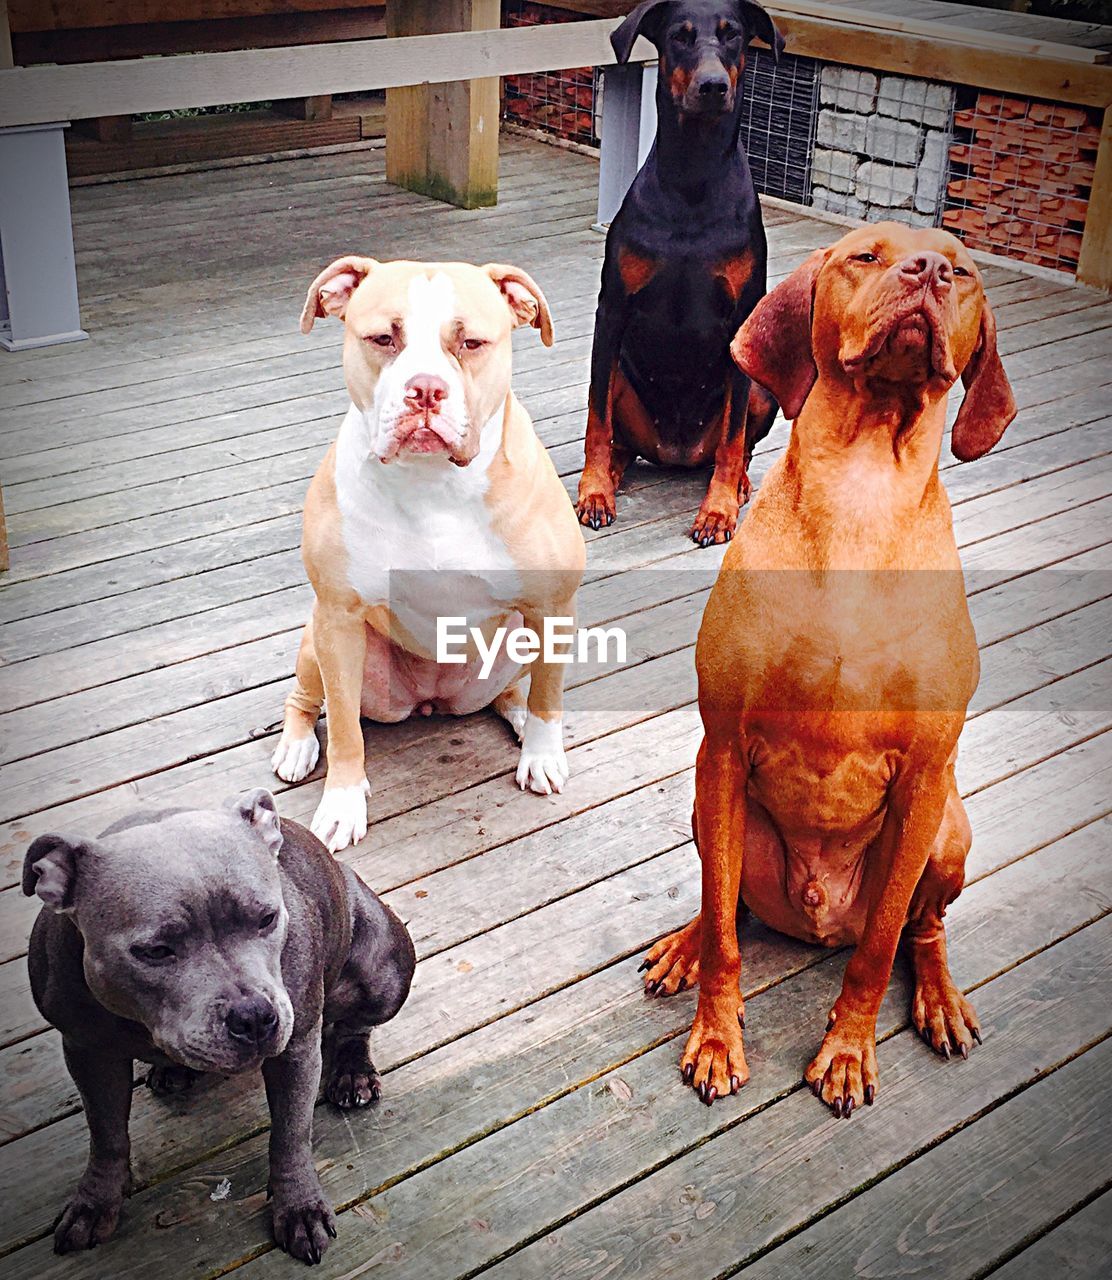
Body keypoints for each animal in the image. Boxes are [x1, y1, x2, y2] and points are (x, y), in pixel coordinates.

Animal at [26, 783, 417, 1264]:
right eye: (155, 951)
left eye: (267, 918)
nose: (254, 1017)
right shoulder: (86, 1050)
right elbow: (107, 1133)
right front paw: (96, 1201)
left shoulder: (297, 1047)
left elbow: (291, 1134)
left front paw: (299, 1207)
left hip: (384, 967)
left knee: (353, 1027)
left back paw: (352, 1073)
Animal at [272, 258, 586, 849]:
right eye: (383, 339)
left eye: (471, 343)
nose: (424, 389)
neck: (432, 483)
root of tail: (430, 698)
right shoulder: (338, 617)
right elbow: (344, 728)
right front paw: (342, 803)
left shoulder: (553, 607)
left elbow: (548, 695)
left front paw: (542, 754)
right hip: (317, 641)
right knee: (308, 701)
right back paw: (297, 745)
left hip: (516, 637)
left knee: (517, 691)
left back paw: (519, 720)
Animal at [642, 225, 1013, 1116]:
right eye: (866, 257)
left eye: (964, 270)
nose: (928, 271)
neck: (860, 497)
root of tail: (818, 919)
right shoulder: (723, 747)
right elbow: (723, 927)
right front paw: (717, 1037)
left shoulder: (924, 777)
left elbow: (878, 954)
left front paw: (847, 1050)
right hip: (713, 808)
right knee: (726, 906)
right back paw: (686, 947)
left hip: (948, 830)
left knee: (920, 929)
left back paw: (939, 997)